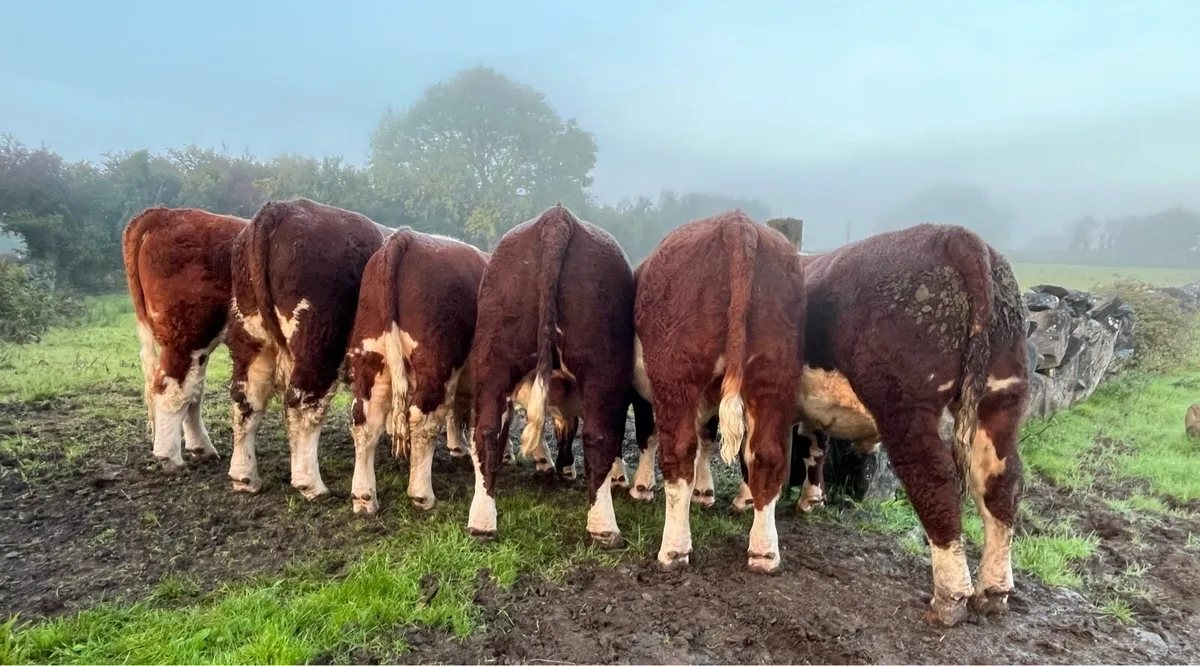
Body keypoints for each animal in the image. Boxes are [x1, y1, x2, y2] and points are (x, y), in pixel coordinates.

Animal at [121, 206, 247, 471]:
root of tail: (164, 213)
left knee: (192, 390)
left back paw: (200, 447)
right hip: (188, 336)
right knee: (173, 390)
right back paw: (169, 456)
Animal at [225, 198, 386, 499]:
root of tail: (280, 209)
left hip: (252, 337)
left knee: (246, 400)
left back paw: (245, 476)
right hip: (318, 346)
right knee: (303, 407)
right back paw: (311, 484)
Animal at [466, 204, 636, 546]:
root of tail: (557, 218)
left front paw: (562, 466)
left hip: (494, 359)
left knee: (487, 432)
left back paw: (481, 522)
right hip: (603, 367)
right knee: (599, 437)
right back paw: (604, 528)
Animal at [634, 211, 807, 573]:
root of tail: (736, 224)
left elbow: (650, 435)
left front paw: (641, 487)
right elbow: (706, 438)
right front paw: (705, 492)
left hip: (676, 375)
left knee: (678, 453)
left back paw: (674, 549)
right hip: (775, 373)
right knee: (768, 456)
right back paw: (764, 552)